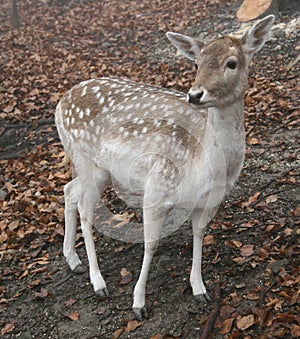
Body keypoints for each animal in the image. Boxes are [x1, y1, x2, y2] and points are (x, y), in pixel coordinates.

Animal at [55, 13, 276, 322]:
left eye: (231, 63)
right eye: (196, 63)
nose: (195, 94)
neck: (204, 167)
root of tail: (60, 104)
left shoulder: (209, 200)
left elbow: (199, 234)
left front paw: (199, 289)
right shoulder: (157, 188)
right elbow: (151, 244)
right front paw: (138, 303)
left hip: (98, 170)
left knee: (69, 190)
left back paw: (73, 260)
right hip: (86, 160)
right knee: (86, 211)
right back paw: (98, 282)